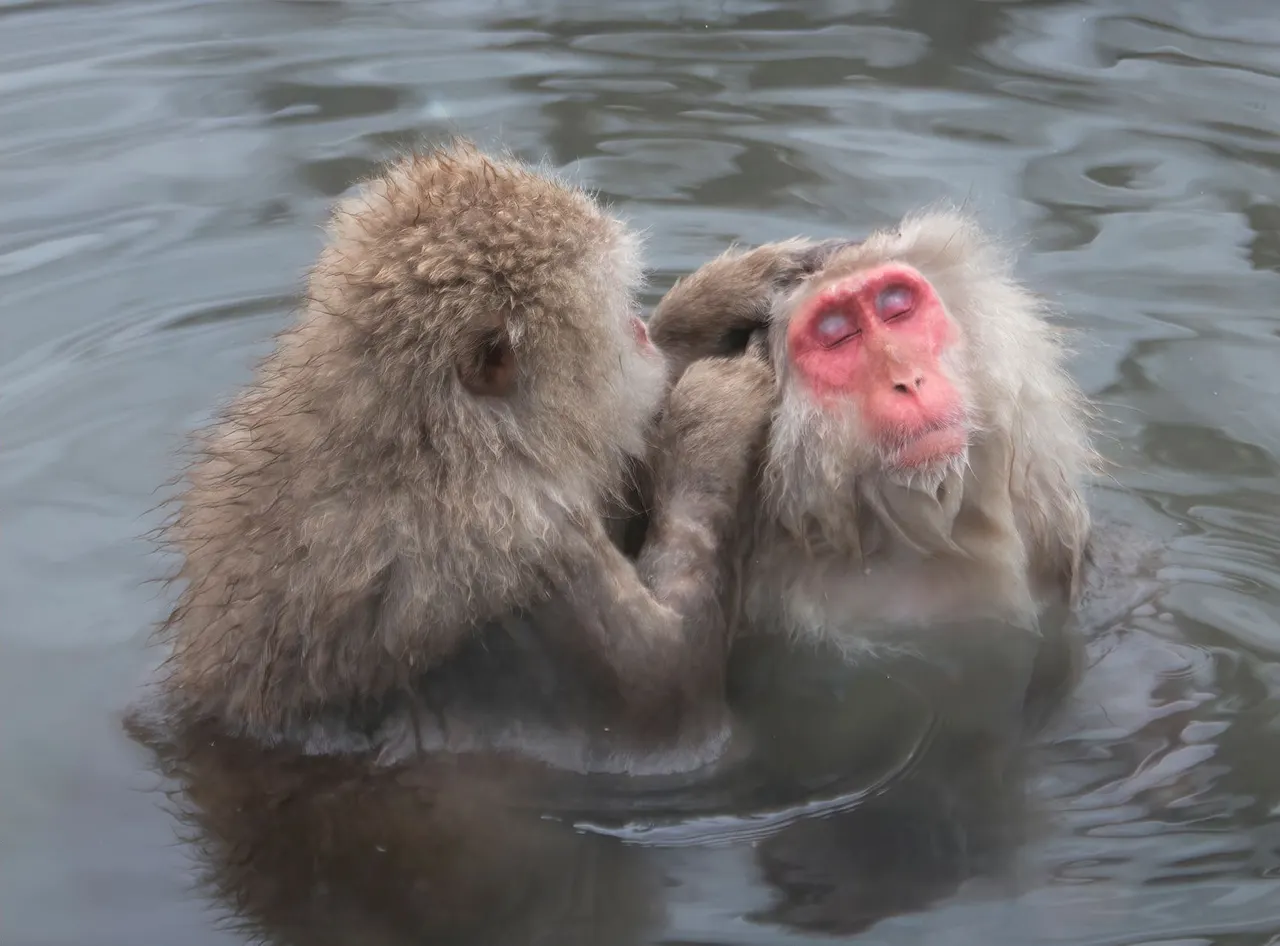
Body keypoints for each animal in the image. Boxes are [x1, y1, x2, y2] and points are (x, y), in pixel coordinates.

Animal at [143, 140, 777, 775]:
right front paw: (712, 412)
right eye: (617, 318)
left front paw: (713, 302)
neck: (425, 446)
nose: (641, 330)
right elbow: (672, 688)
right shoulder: (517, 546)